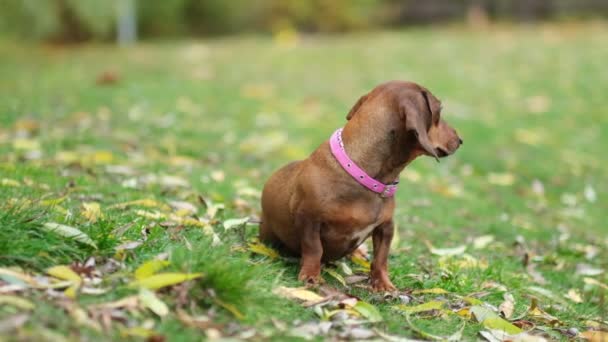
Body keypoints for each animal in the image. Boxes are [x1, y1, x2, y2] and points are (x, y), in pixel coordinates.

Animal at [258, 81, 464, 292]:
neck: (364, 175)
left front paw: (383, 283)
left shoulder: (386, 227)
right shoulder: (308, 219)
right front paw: (311, 275)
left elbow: (381, 258)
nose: (460, 140)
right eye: (439, 110)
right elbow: (314, 248)